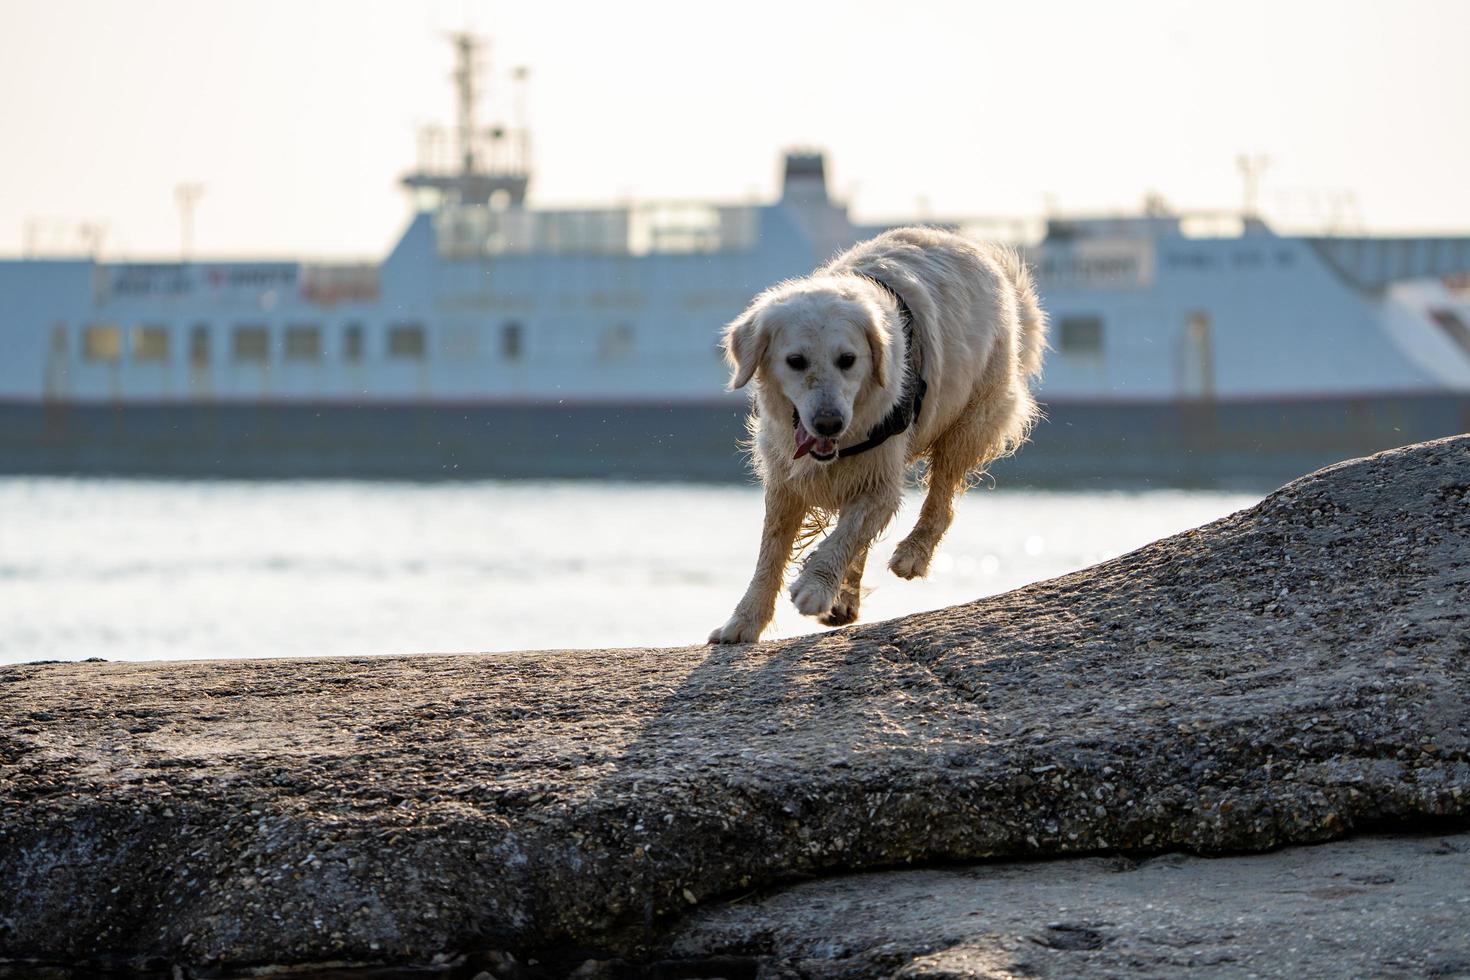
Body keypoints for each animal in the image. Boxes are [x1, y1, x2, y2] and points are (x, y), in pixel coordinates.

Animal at [702, 226, 1040, 646]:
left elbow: (846, 535)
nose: (829, 423)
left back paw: (912, 554)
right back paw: (846, 599)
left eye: (848, 360)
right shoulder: (784, 479)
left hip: (972, 417)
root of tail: (976, 247)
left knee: (942, 499)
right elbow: (771, 553)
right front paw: (744, 622)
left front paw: (814, 587)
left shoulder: (880, 478)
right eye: (795, 361)